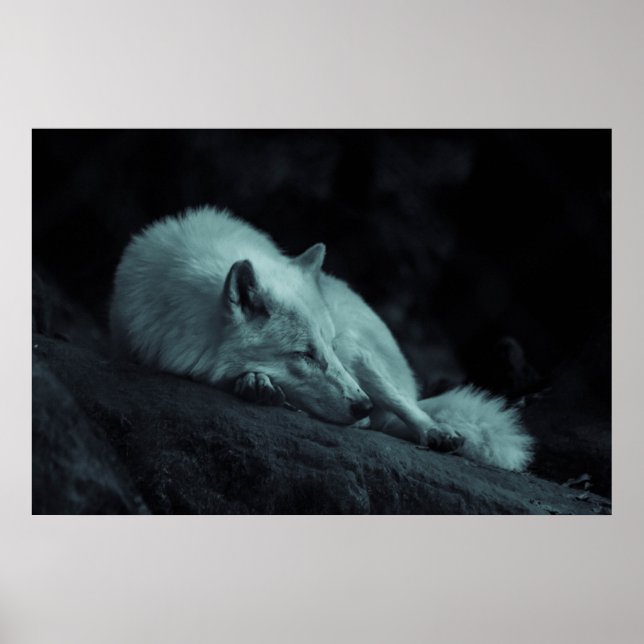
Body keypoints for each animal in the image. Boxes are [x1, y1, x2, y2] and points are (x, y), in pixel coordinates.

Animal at [110, 206, 534, 471]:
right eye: (305, 355)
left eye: (325, 349)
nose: (361, 405)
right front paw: (256, 382)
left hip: (359, 351)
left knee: (405, 407)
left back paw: (436, 431)